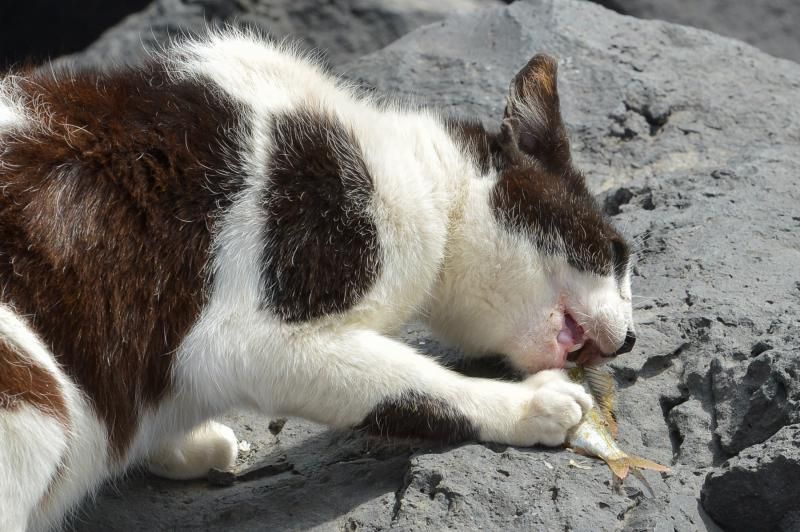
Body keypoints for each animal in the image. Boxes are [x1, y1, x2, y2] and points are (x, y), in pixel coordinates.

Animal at [1, 30, 636, 532]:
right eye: (616, 251)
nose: (631, 339)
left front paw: (182, 445)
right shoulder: (243, 333)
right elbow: (411, 385)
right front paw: (529, 407)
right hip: (33, 382)